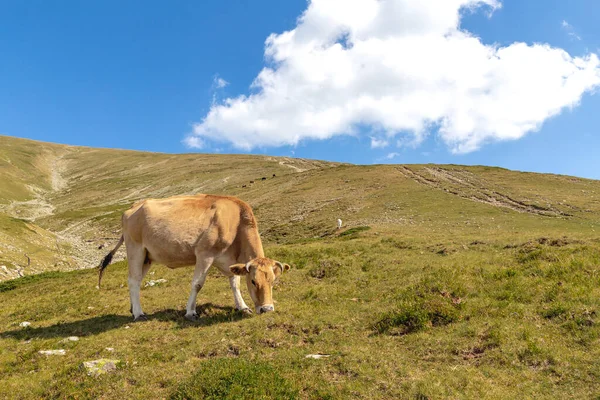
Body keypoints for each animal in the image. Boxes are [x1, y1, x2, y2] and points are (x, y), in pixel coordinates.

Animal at [99, 192, 290, 320]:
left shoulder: (231, 261)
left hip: (147, 257)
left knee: (136, 280)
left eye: (273, 281)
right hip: (135, 249)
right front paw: (190, 312)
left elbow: (235, 283)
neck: (235, 222)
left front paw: (242, 307)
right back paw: (139, 314)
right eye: (253, 281)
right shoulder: (204, 254)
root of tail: (132, 207)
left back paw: (133, 309)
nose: (267, 309)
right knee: (133, 280)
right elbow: (197, 284)